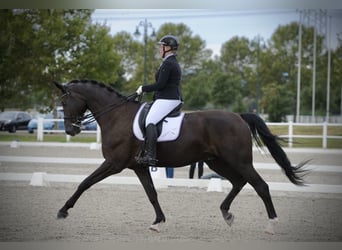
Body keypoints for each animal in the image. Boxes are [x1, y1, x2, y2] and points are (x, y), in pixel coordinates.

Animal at [54, 79, 308, 233]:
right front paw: (158, 222)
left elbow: (85, 183)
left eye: (64, 101)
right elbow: (152, 193)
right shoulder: (138, 167)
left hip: (239, 161)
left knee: (260, 185)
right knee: (239, 182)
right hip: (217, 162)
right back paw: (226, 214)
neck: (116, 116)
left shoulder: (114, 163)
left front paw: (63, 210)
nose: (70, 130)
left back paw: (271, 225)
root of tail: (239, 116)